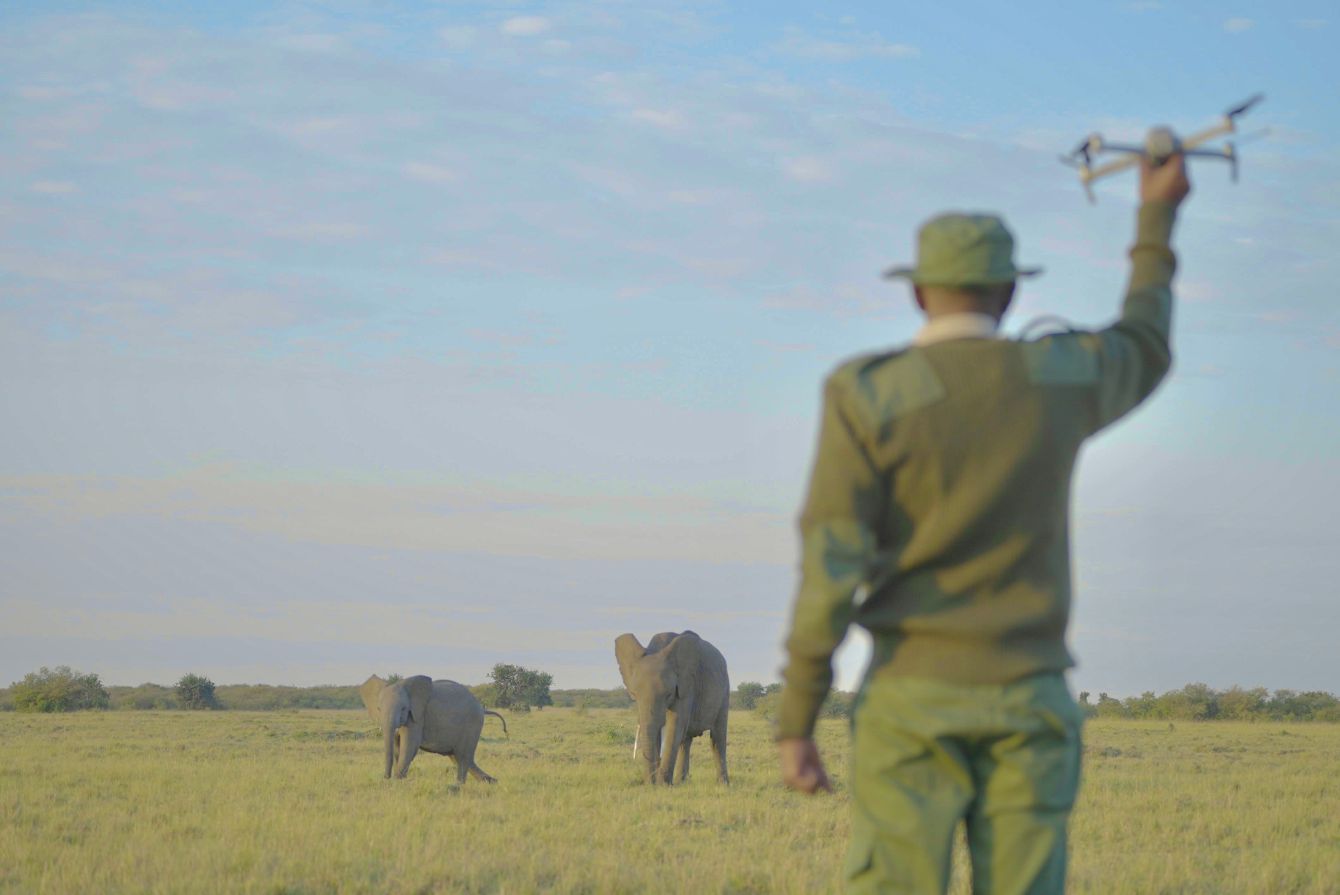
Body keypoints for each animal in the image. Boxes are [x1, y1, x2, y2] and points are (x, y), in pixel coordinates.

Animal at [359, 675, 507, 783]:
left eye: (404, 709)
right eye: (379, 709)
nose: (386, 777)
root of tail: (482, 707)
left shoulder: (417, 717)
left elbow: (409, 746)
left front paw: (398, 781)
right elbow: (397, 747)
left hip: (472, 724)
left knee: (463, 757)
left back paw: (458, 786)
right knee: (458, 757)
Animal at [615, 630, 729, 785]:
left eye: (668, 694)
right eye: (634, 695)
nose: (649, 783)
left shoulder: (687, 686)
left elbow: (674, 726)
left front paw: (663, 785)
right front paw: (656, 784)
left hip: (724, 691)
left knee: (717, 738)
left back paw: (723, 784)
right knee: (685, 741)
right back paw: (681, 782)